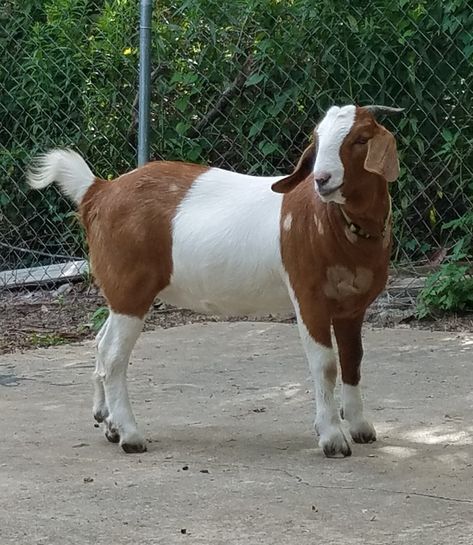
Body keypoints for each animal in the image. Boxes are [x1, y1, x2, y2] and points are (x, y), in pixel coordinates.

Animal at [27, 104, 400, 456]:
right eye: (318, 141)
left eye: (360, 139)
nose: (322, 178)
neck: (333, 223)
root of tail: (99, 191)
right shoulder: (308, 296)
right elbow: (325, 365)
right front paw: (333, 438)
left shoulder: (353, 306)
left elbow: (353, 360)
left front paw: (361, 427)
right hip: (130, 287)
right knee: (114, 354)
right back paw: (131, 435)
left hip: (121, 294)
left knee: (101, 342)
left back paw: (109, 423)